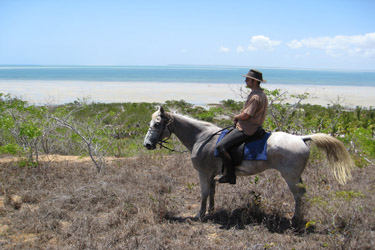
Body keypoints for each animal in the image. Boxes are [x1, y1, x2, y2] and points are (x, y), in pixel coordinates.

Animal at [142, 106, 354, 222]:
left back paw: (295, 218)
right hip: (297, 176)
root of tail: (302, 138)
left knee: (298, 195)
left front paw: (200, 215)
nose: (147, 145)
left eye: (157, 125)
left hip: (290, 177)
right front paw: (211, 210)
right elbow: (212, 191)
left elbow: (203, 193)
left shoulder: (203, 173)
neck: (201, 138)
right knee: (302, 194)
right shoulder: (211, 175)